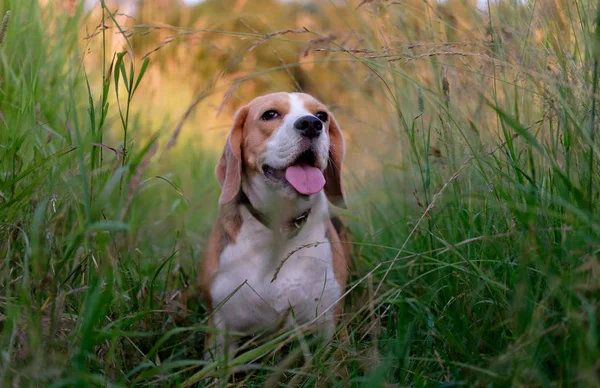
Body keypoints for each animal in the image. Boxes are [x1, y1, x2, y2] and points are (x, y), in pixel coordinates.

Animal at [200, 92, 352, 360]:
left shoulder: (329, 325)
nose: (311, 124)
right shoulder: (220, 329)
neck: (281, 227)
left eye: (322, 115)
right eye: (270, 114)